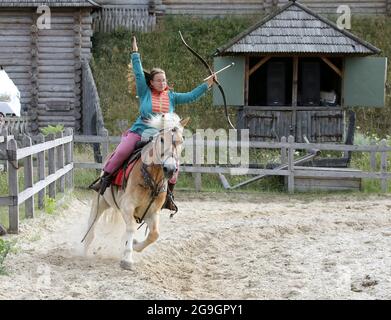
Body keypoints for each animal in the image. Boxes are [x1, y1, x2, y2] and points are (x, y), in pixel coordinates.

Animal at [83, 114, 189, 268]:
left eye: (181, 140)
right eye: (162, 139)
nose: (170, 169)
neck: (152, 179)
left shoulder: (152, 213)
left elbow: (154, 235)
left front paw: (134, 244)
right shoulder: (128, 206)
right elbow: (132, 229)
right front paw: (127, 259)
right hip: (102, 201)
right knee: (92, 222)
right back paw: (85, 248)